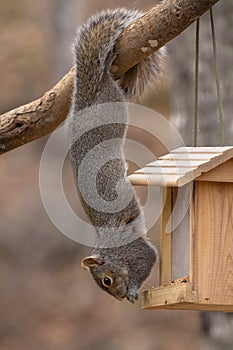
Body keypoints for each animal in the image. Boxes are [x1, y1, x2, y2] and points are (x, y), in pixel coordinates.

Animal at [65, 8, 166, 304]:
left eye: (106, 280)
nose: (119, 297)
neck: (112, 252)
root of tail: (84, 104)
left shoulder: (134, 250)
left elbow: (148, 259)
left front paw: (133, 290)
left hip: (114, 104)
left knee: (109, 82)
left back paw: (109, 63)